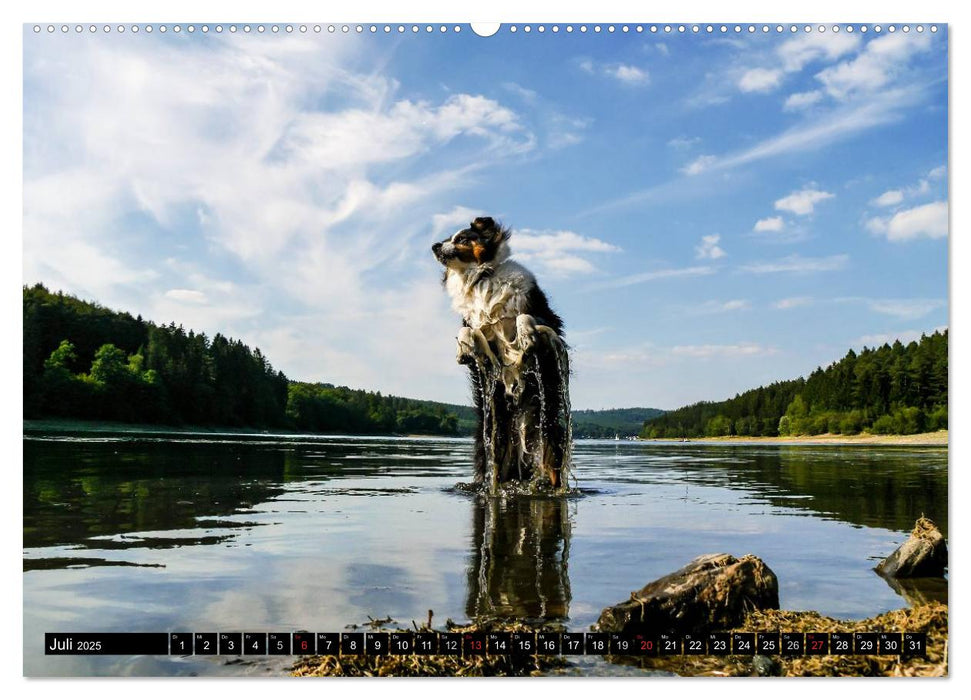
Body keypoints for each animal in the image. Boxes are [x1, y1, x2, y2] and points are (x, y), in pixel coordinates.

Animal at [432, 216, 568, 490]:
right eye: (446, 238)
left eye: (462, 238)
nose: (434, 246)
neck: (481, 278)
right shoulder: (474, 324)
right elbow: (466, 331)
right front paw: (463, 350)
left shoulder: (547, 318)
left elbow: (525, 317)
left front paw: (526, 336)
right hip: (490, 447)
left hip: (548, 439)